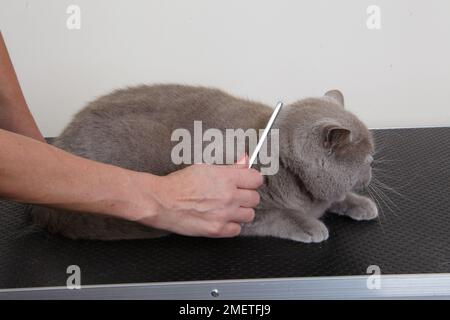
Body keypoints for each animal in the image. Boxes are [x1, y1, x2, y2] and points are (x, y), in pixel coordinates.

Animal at [29, 85, 378, 242]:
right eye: (368, 158)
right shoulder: (243, 207)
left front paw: (360, 204)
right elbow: (281, 215)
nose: (372, 168)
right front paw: (310, 225)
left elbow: (338, 198)